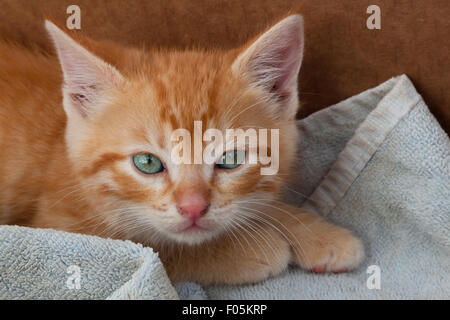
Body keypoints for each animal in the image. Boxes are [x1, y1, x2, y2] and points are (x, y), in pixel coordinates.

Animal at [0, 15, 366, 284]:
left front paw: (318, 233)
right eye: (147, 163)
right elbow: (150, 250)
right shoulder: (56, 230)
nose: (193, 208)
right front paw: (248, 249)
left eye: (231, 159)